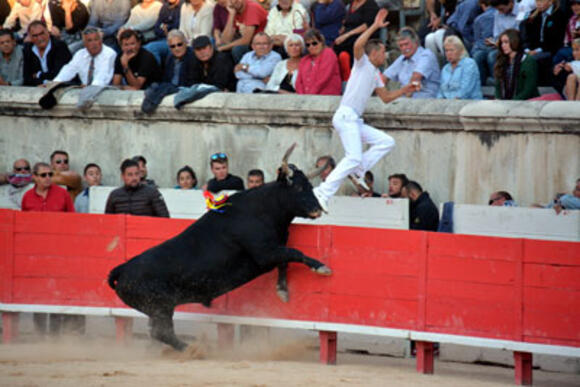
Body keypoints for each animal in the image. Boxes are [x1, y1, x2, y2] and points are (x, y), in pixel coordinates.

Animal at [107, 146, 330, 352]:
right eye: (298, 188)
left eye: (310, 186)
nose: (317, 210)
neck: (265, 208)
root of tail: (123, 269)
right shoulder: (264, 253)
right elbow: (295, 253)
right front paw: (322, 267)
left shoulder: (272, 250)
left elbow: (286, 260)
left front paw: (282, 290)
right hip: (161, 306)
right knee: (162, 332)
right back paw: (194, 350)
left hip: (157, 308)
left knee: (158, 332)